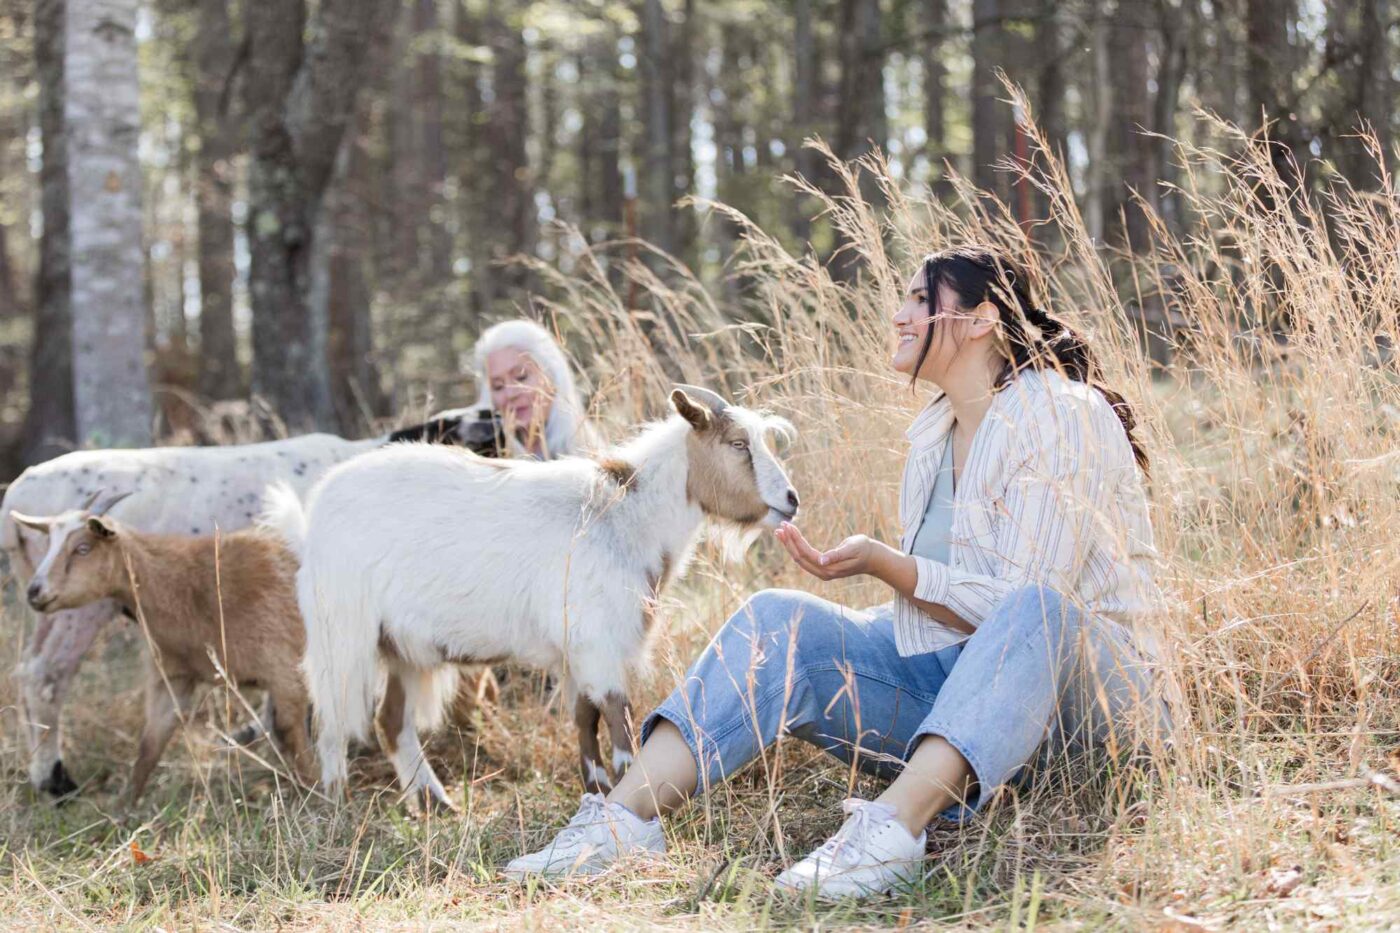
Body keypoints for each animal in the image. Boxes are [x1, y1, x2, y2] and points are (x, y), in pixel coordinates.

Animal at [8, 493, 315, 801]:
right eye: (48, 545)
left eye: (83, 548)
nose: (34, 592)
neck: (190, 586)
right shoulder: (172, 678)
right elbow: (150, 745)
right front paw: (123, 807)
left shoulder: (285, 672)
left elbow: (290, 731)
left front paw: (314, 791)